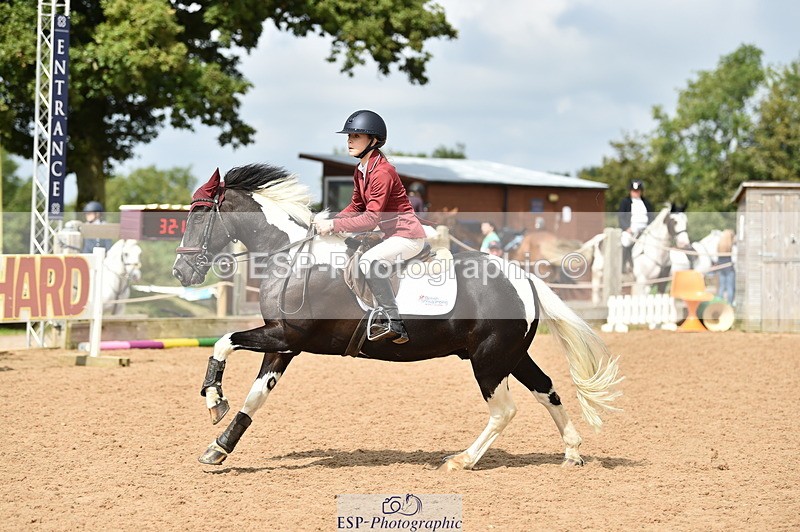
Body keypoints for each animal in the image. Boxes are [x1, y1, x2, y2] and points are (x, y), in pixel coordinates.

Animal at [172, 164, 623, 471]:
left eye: (197, 215)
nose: (180, 272)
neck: (292, 256)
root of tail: (522, 278)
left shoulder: (286, 336)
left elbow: (224, 341)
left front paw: (214, 399)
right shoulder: (282, 344)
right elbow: (256, 396)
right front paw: (219, 445)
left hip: (489, 360)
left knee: (504, 410)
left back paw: (461, 460)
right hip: (511, 354)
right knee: (547, 389)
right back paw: (572, 452)